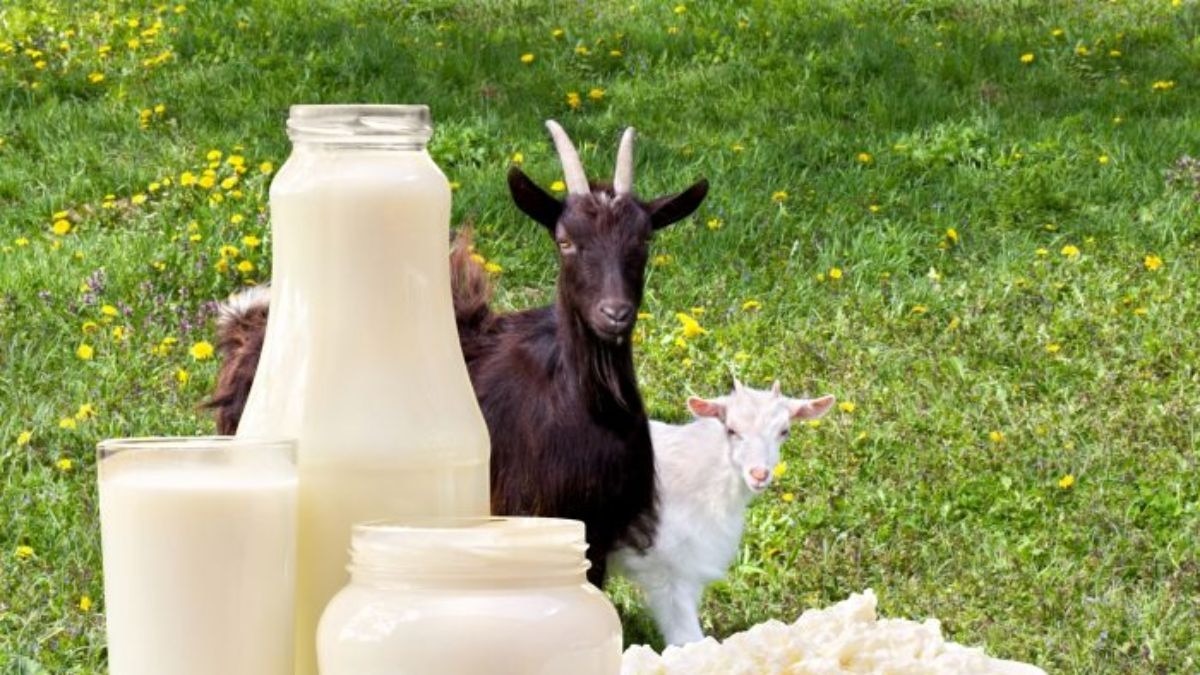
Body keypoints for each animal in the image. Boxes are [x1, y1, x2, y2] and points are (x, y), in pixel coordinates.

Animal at [208, 121, 709, 587]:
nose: (615, 313)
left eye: (643, 241)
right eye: (565, 240)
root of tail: (247, 325)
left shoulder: (598, 526)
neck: (587, 403)